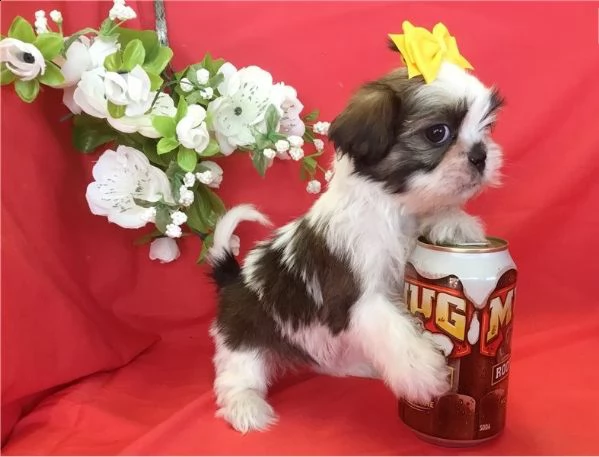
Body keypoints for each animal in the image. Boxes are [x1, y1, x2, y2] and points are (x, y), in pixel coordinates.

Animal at [207, 29, 506, 432]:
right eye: (437, 133)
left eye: (485, 128)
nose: (480, 155)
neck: (393, 209)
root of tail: (232, 276)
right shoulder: (355, 295)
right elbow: (389, 327)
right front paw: (423, 370)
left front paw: (455, 224)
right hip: (245, 335)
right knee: (238, 372)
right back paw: (246, 405)